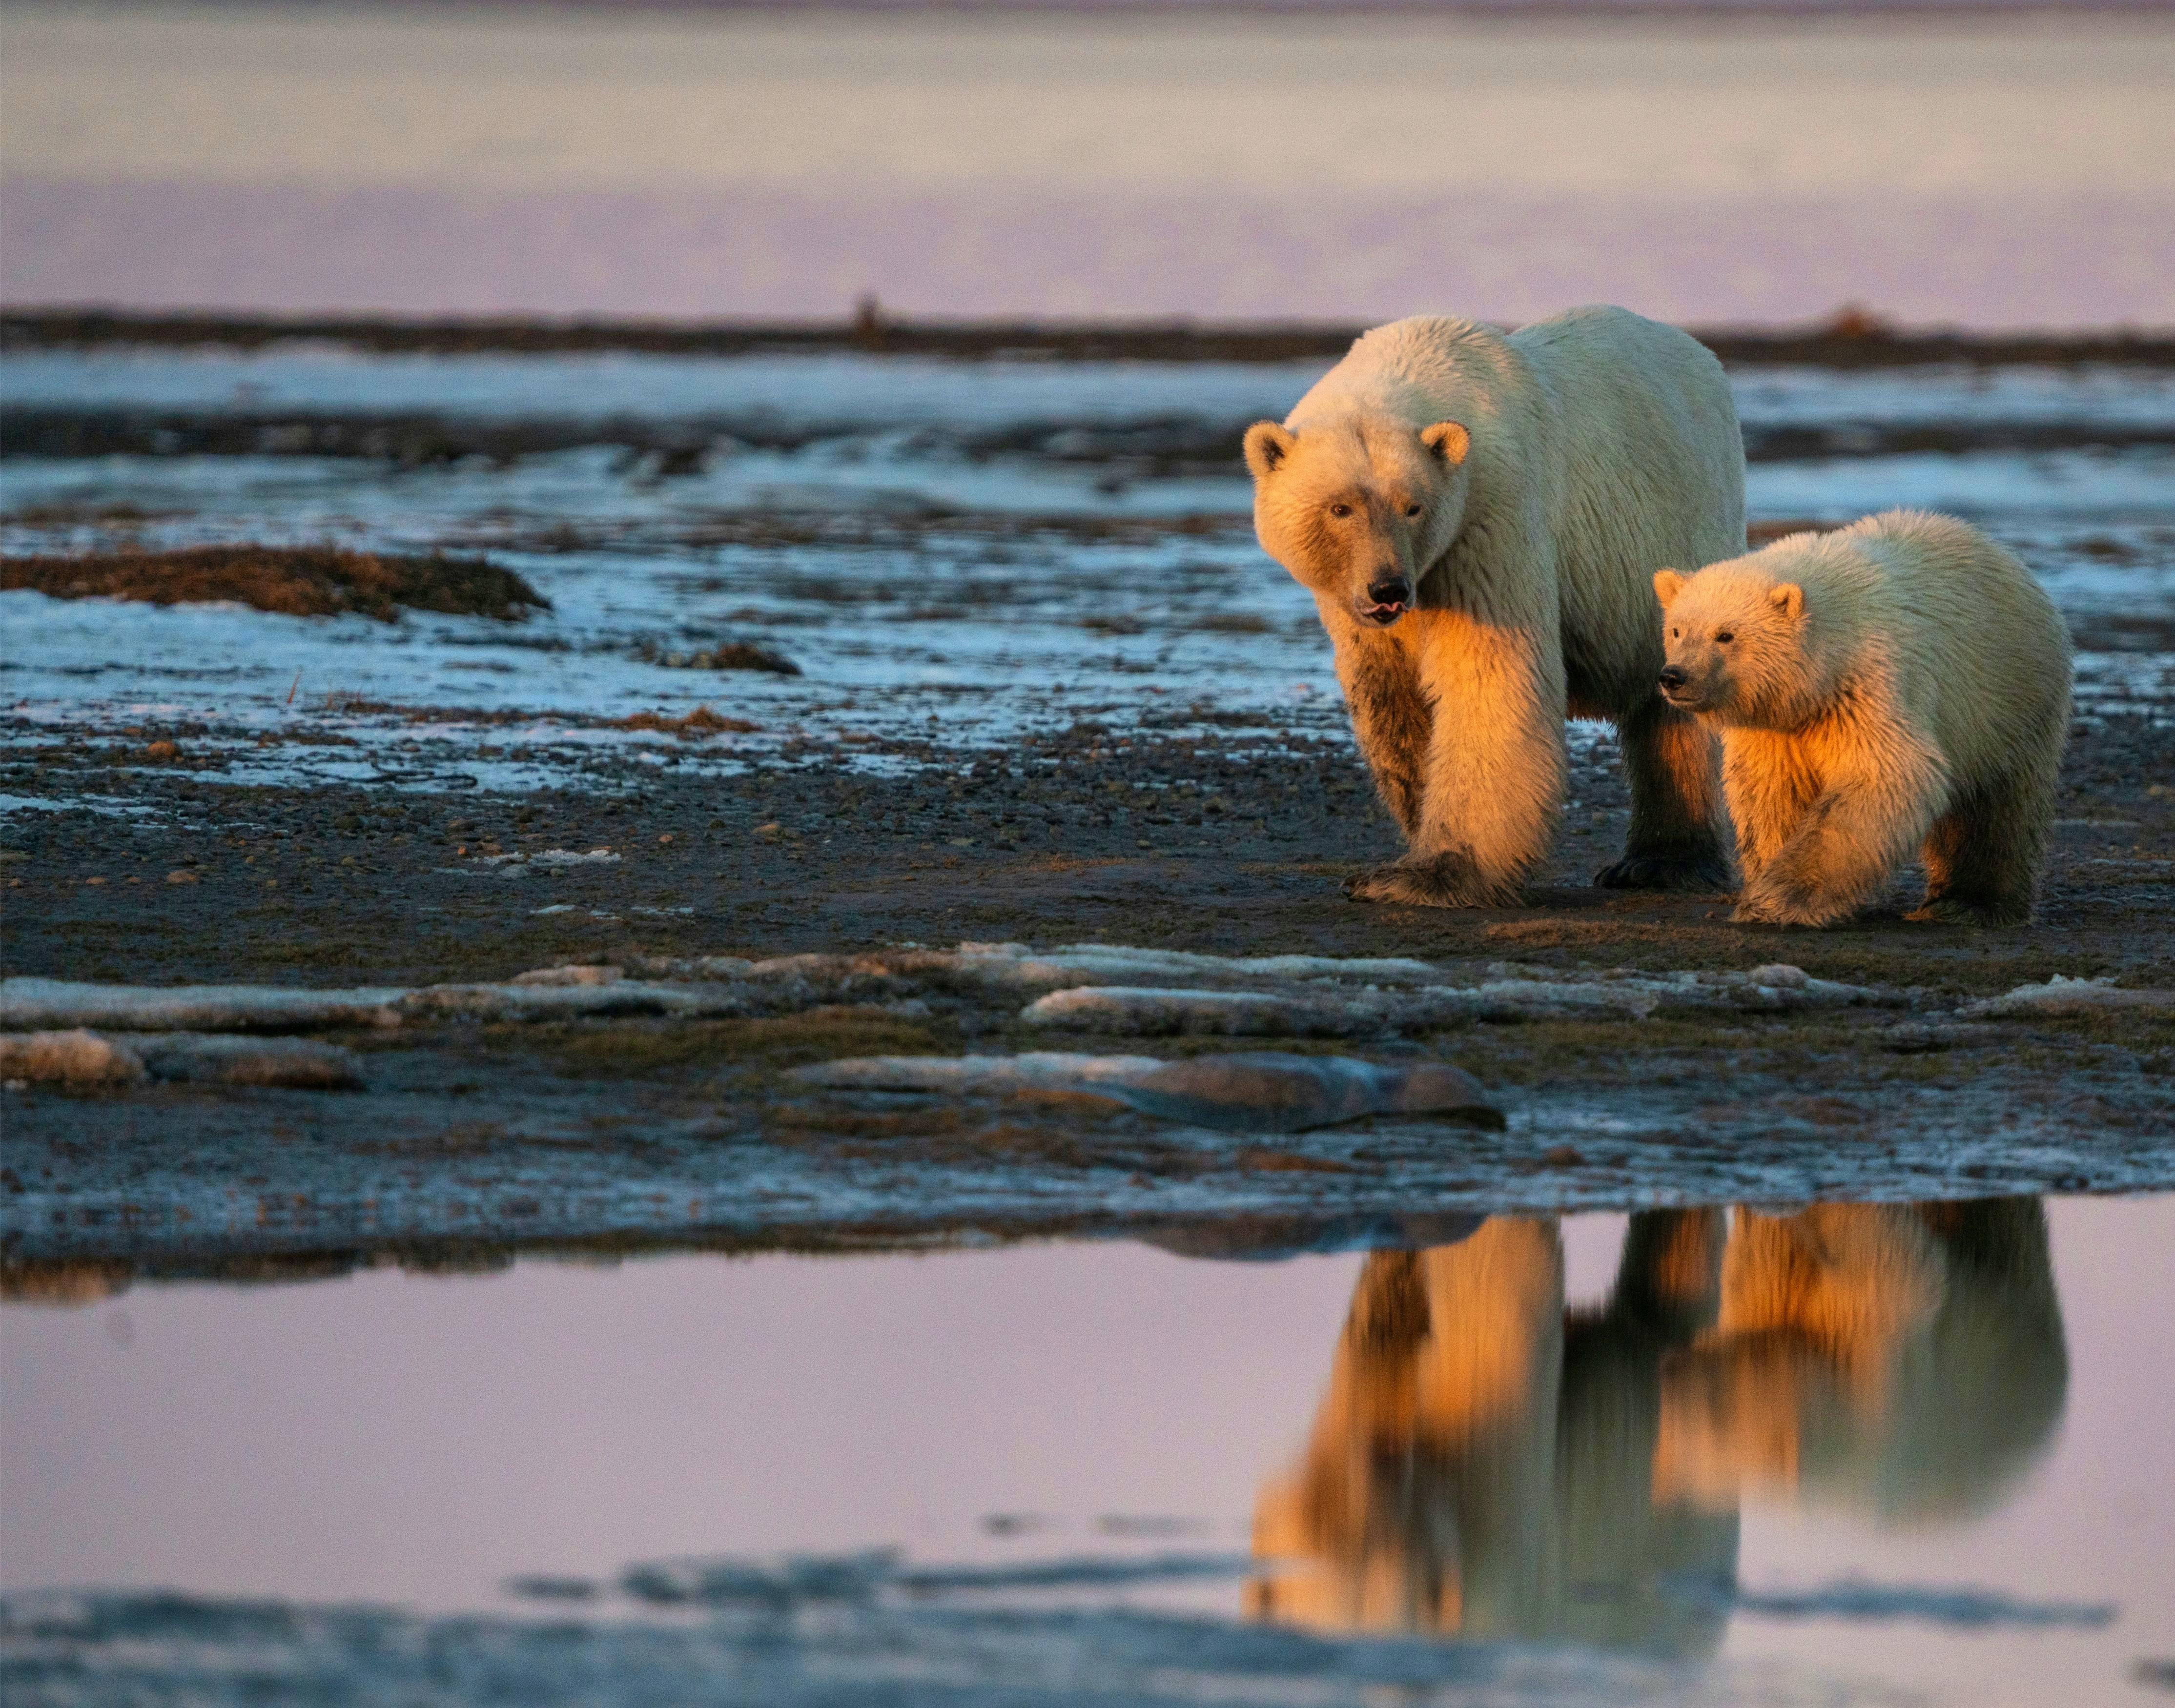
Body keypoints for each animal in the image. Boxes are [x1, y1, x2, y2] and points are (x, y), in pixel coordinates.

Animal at [1244, 305, 1746, 908]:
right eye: (1339, 507)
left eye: (1412, 507)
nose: (1388, 589)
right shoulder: (1361, 607)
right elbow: (1393, 695)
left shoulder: (1487, 520)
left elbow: (1487, 676)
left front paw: (1429, 874)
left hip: (1681, 524)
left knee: (1675, 702)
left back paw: (1662, 862)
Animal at [1652, 510, 2072, 927]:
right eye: (1677, 630)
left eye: (1725, 635)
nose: (1674, 676)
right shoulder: (1776, 725)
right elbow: (1770, 790)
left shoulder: (1869, 686)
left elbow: (1883, 777)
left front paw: (1775, 901)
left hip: (2008, 700)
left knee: (1998, 808)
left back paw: (1970, 903)